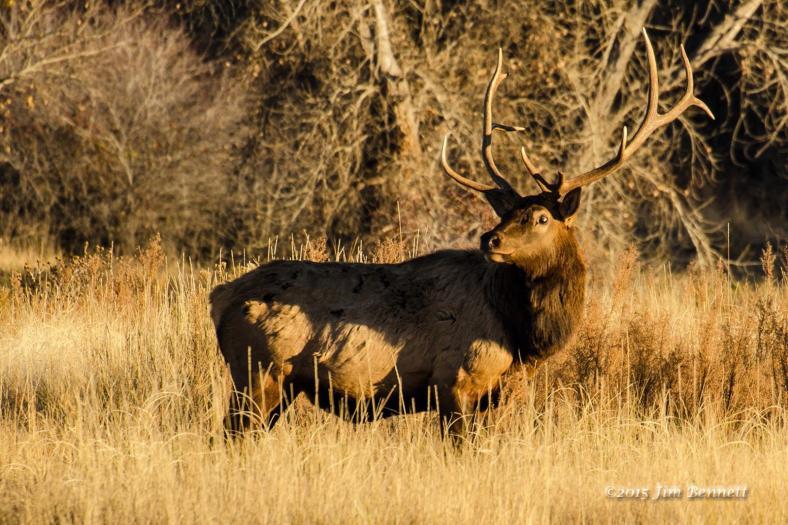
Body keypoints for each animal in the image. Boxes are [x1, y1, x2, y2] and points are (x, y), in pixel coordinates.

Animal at [209, 30, 713, 437]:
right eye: (512, 212)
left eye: (541, 217)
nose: (490, 239)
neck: (520, 336)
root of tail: (219, 297)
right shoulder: (456, 381)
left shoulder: (494, 392)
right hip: (258, 373)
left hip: (275, 388)